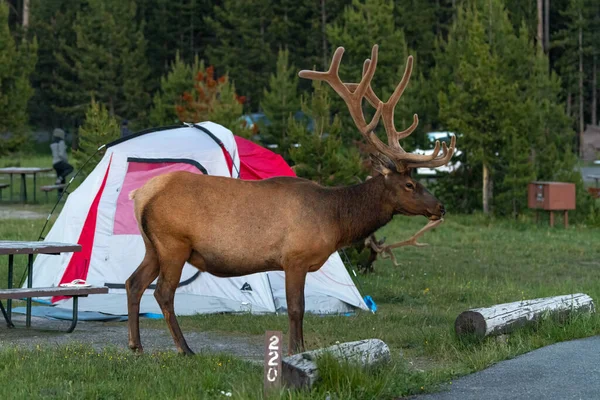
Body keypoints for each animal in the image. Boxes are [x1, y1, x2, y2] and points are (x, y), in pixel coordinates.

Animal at [125, 44, 454, 356]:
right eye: (410, 184)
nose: (440, 207)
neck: (335, 219)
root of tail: (140, 194)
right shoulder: (295, 257)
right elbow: (297, 308)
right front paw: (298, 350)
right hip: (173, 243)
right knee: (163, 292)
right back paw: (184, 348)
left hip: (152, 245)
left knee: (134, 283)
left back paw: (136, 346)